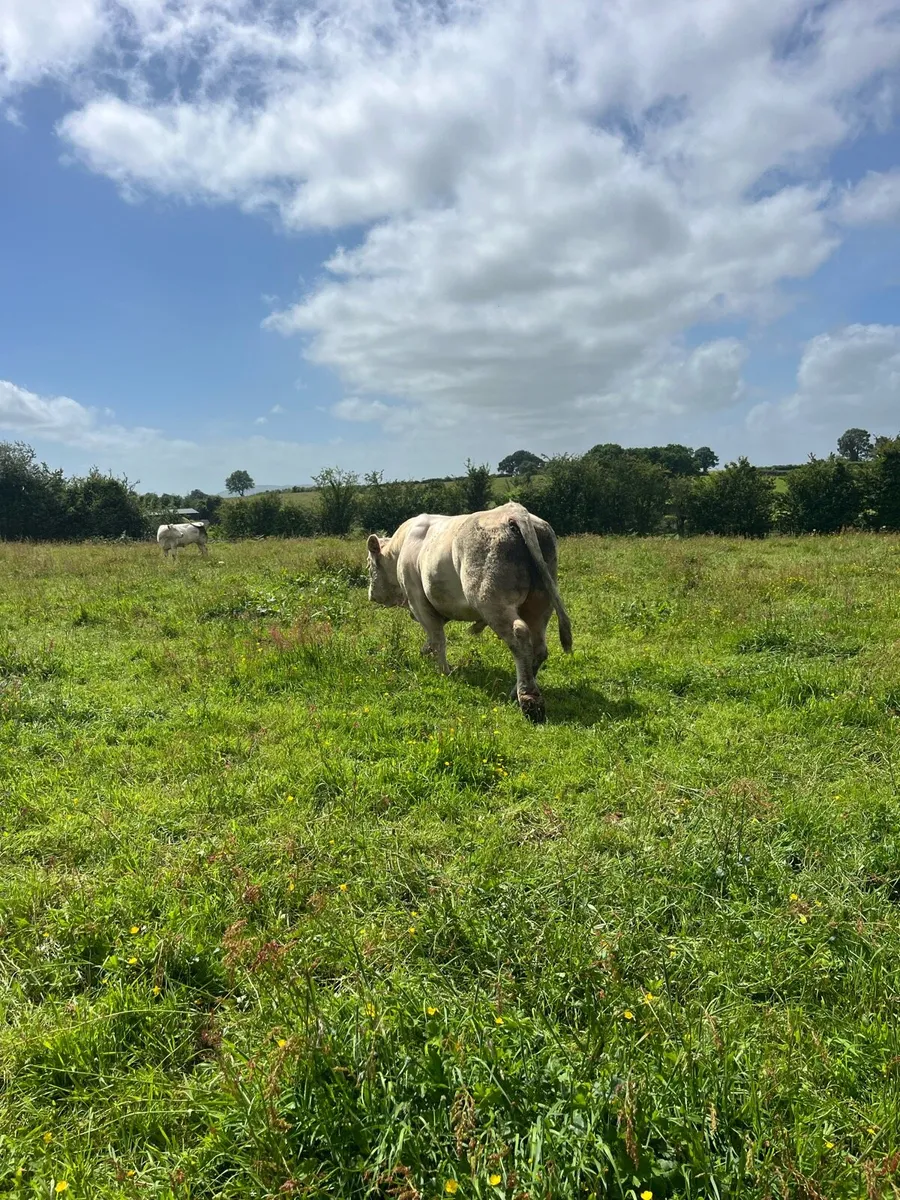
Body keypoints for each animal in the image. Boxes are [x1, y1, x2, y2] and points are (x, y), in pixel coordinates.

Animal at [366, 502, 572, 722]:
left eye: (369, 566)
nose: (371, 595)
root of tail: (513, 511)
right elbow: (432, 640)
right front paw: (425, 653)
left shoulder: (418, 601)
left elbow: (438, 639)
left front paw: (444, 672)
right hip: (540, 602)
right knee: (539, 647)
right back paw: (515, 691)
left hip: (490, 600)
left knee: (520, 635)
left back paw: (528, 700)